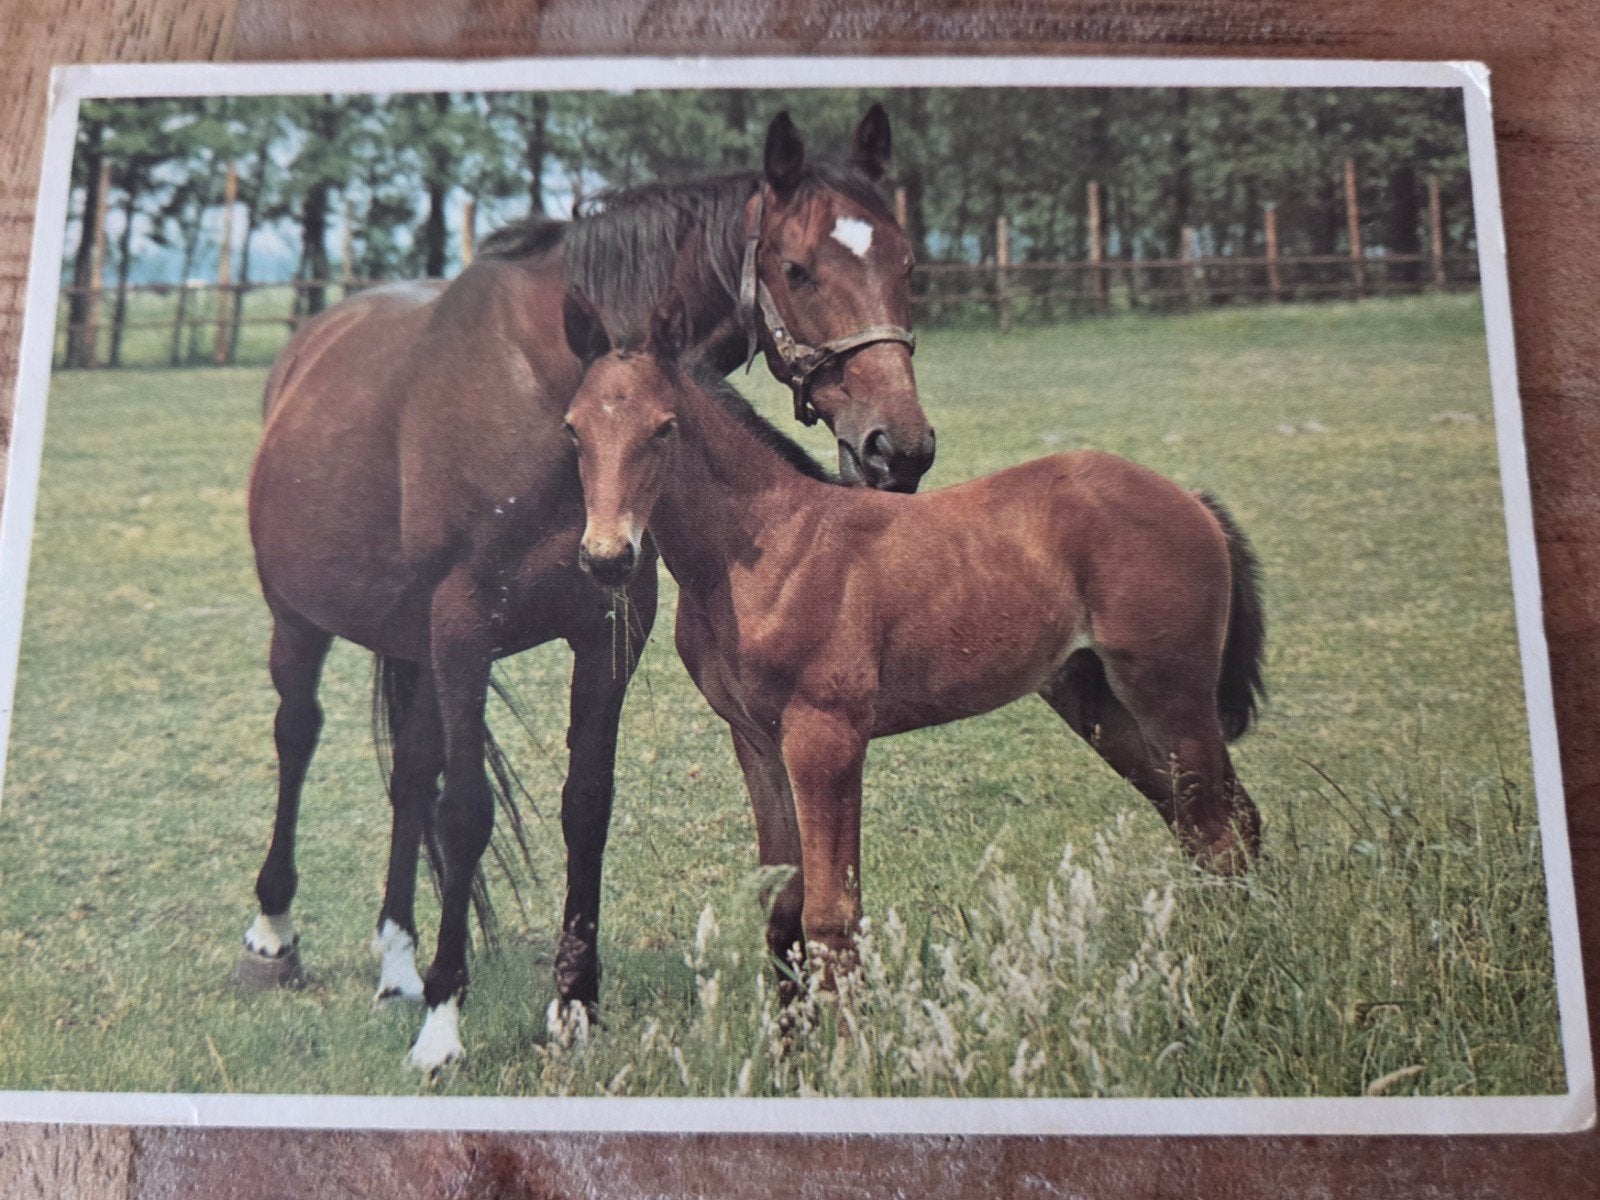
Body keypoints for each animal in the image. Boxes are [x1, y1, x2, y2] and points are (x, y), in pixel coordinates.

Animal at [241, 105, 936, 1070]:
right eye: (798, 269)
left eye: (907, 264)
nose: (898, 448)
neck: (544, 392)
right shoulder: (462, 629)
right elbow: (466, 813)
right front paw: (445, 1023)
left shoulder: (607, 629)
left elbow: (584, 806)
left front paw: (572, 1001)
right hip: (297, 620)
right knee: (297, 735)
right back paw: (274, 935)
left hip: (404, 640)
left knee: (408, 774)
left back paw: (397, 962)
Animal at [562, 287, 1265, 985]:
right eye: (573, 429)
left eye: (665, 427)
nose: (606, 558)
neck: (764, 550)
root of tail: (1192, 501)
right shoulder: (755, 742)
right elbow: (783, 911)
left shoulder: (827, 738)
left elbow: (831, 917)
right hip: (1099, 703)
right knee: (1213, 823)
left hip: (1171, 696)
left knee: (1219, 833)